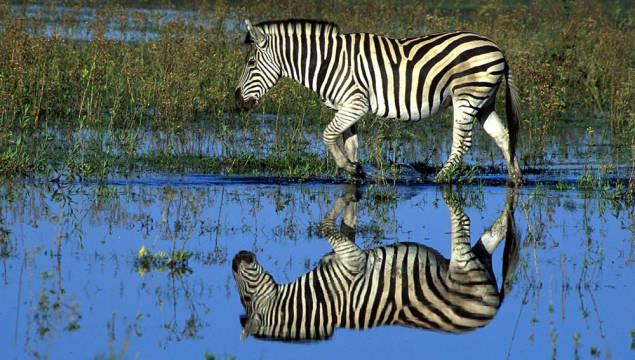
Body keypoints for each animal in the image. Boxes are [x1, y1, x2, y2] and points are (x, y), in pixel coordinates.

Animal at [231, 187, 520, 342]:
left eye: (246, 297)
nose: (235, 259)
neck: (323, 299)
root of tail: (493, 311)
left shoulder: (352, 259)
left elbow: (326, 226)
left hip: (465, 265)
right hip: (480, 260)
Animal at [236, 19, 524, 183]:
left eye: (250, 63)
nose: (238, 99)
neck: (326, 63)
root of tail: (498, 49)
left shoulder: (356, 103)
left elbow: (327, 135)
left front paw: (349, 168)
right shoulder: (347, 108)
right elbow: (350, 144)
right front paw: (356, 174)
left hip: (466, 96)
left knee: (462, 144)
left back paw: (440, 179)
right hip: (484, 100)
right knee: (503, 136)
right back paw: (515, 178)